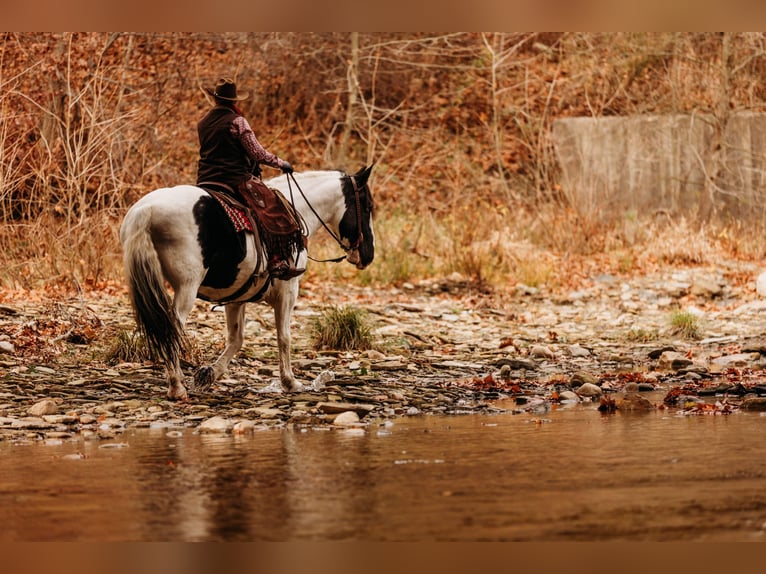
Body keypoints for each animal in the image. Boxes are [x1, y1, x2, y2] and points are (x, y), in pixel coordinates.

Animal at [119, 165, 378, 400]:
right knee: (172, 327)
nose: (368, 255)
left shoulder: (236, 298)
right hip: (187, 287)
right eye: (367, 207)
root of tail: (147, 210)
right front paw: (290, 383)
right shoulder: (288, 291)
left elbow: (236, 339)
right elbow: (284, 337)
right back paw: (176, 387)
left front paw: (208, 375)